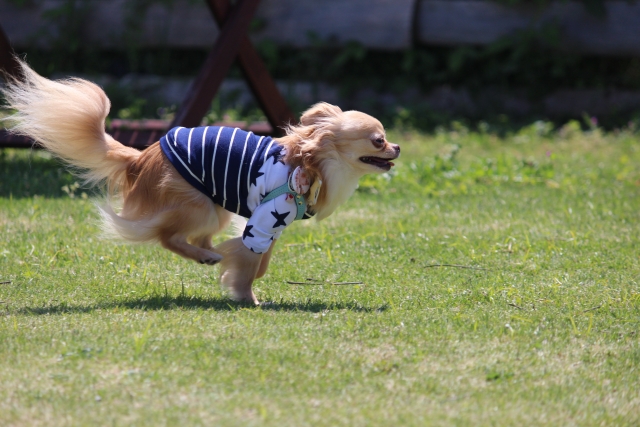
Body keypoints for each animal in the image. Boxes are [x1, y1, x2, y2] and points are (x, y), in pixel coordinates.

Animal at [1, 60, 400, 304]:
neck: (312, 161)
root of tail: (139, 158)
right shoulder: (265, 219)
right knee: (168, 237)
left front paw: (243, 271)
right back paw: (208, 255)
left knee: (197, 238)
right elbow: (251, 263)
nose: (397, 147)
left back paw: (212, 254)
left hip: (216, 206)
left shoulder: (270, 226)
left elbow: (261, 260)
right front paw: (246, 296)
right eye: (377, 140)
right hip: (198, 204)